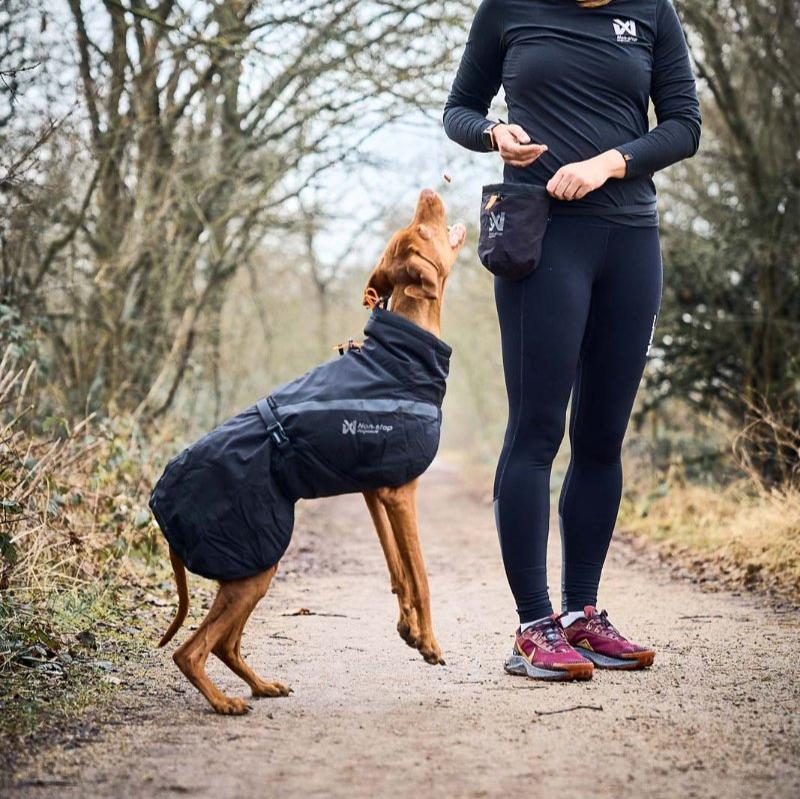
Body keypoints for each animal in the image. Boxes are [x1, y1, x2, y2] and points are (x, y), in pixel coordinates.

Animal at [159, 191, 466, 716]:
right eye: (422, 230)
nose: (427, 192)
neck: (400, 356)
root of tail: (158, 501)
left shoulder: (375, 489)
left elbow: (397, 570)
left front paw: (407, 628)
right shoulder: (401, 492)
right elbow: (421, 575)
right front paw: (428, 642)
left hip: (252, 571)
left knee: (224, 645)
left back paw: (261, 686)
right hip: (254, 563)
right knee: (191, 650)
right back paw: (224, 702)